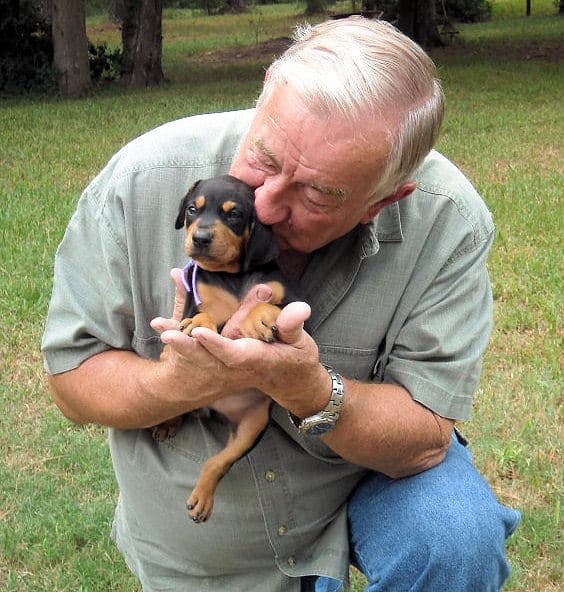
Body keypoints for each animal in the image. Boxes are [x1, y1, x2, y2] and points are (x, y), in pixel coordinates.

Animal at [153, 175, 290, 524]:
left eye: (234, 215)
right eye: (192, 209)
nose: (200, 239)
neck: (233, 276)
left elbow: (268, 305)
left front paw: (260, 318)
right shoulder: (197, 300)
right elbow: (205, 315)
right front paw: (196, 323)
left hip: (254, 424)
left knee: (219, 461)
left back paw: (202, 498)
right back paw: (167, 423)